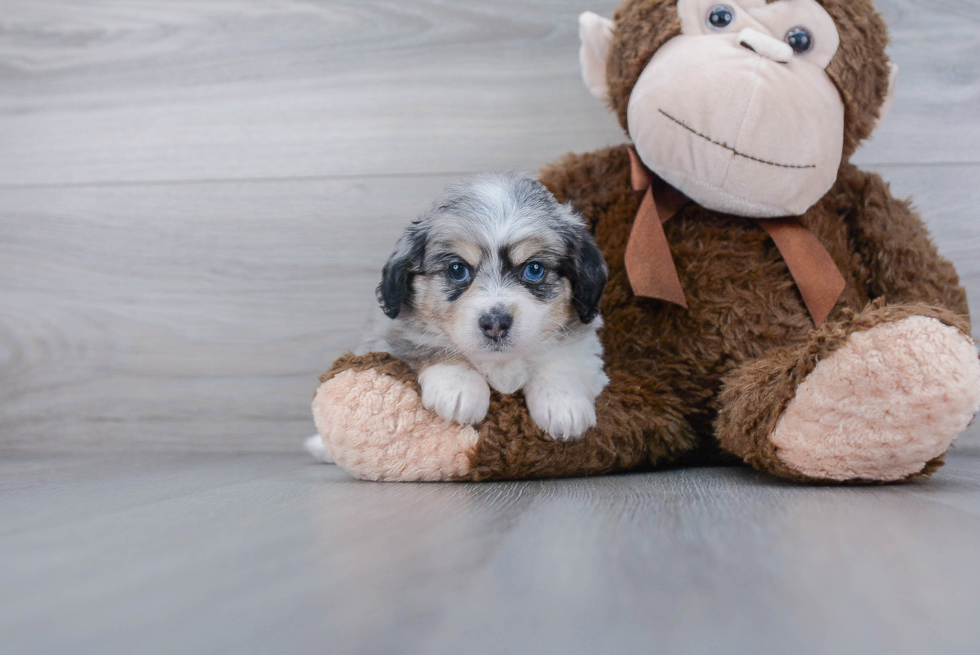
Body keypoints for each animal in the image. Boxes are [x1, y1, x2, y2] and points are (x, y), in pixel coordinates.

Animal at [360, 173, 604, 440]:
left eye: (534, 269)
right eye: (457, 269)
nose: (495, 324)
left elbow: (561, 358)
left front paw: (563, 404)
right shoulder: (394, 335)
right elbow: (429, 344)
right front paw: (459, 387)